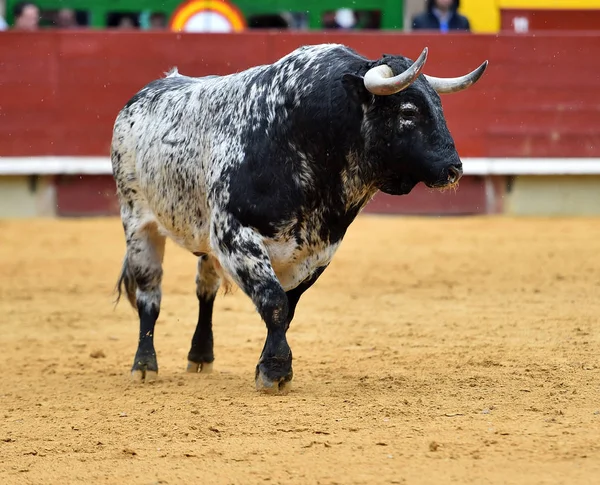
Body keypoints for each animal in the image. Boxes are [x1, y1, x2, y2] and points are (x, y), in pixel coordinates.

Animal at [111, 43, 488, 394]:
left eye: (439, 106)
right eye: (408, 111)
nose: (454, 168)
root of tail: (142, 96)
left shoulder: (318, 249)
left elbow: (287, 308)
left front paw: (272, 365)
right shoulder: (235, 236)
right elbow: (274, 301)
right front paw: (275, 371)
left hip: (203, 239)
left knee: (205, 291)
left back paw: (200, 356)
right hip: (137, 222)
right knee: (149, 295)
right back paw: (144, 365)